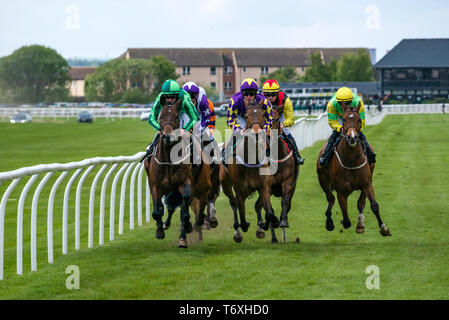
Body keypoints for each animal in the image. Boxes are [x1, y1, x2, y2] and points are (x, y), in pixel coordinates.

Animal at [145, 100, 212, 248]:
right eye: (160, 117)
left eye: (176, 117)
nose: (167, 136)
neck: (169, 159)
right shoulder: (155, 186)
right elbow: (157, 211)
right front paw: (159, 231)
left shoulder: (185, 183)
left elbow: (184, 213)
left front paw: (187, 226)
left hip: (202, 185)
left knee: (198, 205)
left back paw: (190, 231)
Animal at [218, 100, 276, 242]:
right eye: (247, 115)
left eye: (261, 114)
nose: (256, 133)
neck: (251, 160)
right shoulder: (239, 190)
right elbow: (243, 217)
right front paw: (243, 227)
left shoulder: (264, 187)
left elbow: (269, 213)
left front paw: (263, 225)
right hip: (226, 185)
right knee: (233, 203)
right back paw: (237, 232)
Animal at [254, 105, 300, 242]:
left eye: (275, 119)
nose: (269, 137)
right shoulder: (266, 187)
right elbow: (268, 209)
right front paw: (270, 224)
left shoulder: (288, 183)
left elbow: (285, 203)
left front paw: (283, 221)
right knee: (259, 206)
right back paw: (268, 231)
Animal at [314, 104, 390, 236]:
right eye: (344, 120)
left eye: (359, 120)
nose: (352, 137)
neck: (351, 161)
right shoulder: (341, 191)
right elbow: (345, 218)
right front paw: (340, 222)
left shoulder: (367, 184)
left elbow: (373, 205)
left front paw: (383, 228)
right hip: (323, 180)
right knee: (331, 199)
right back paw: (329, 222)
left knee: (360, 203)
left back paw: (360, 224)